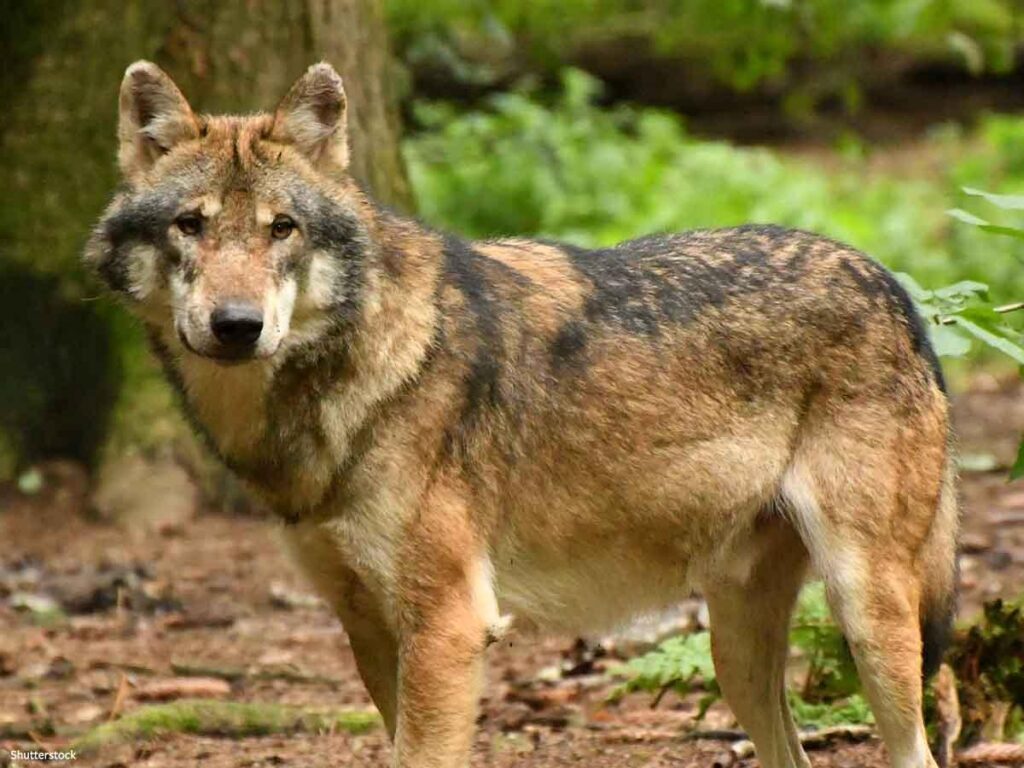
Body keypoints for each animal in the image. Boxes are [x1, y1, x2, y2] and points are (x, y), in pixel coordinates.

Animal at [86, 61, 958, 768]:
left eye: (282, 229)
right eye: (190, 225)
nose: (236, 326)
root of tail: (891, 285)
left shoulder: (449, 625)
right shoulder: (368, 627)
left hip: (866, 613)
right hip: (735, 648)